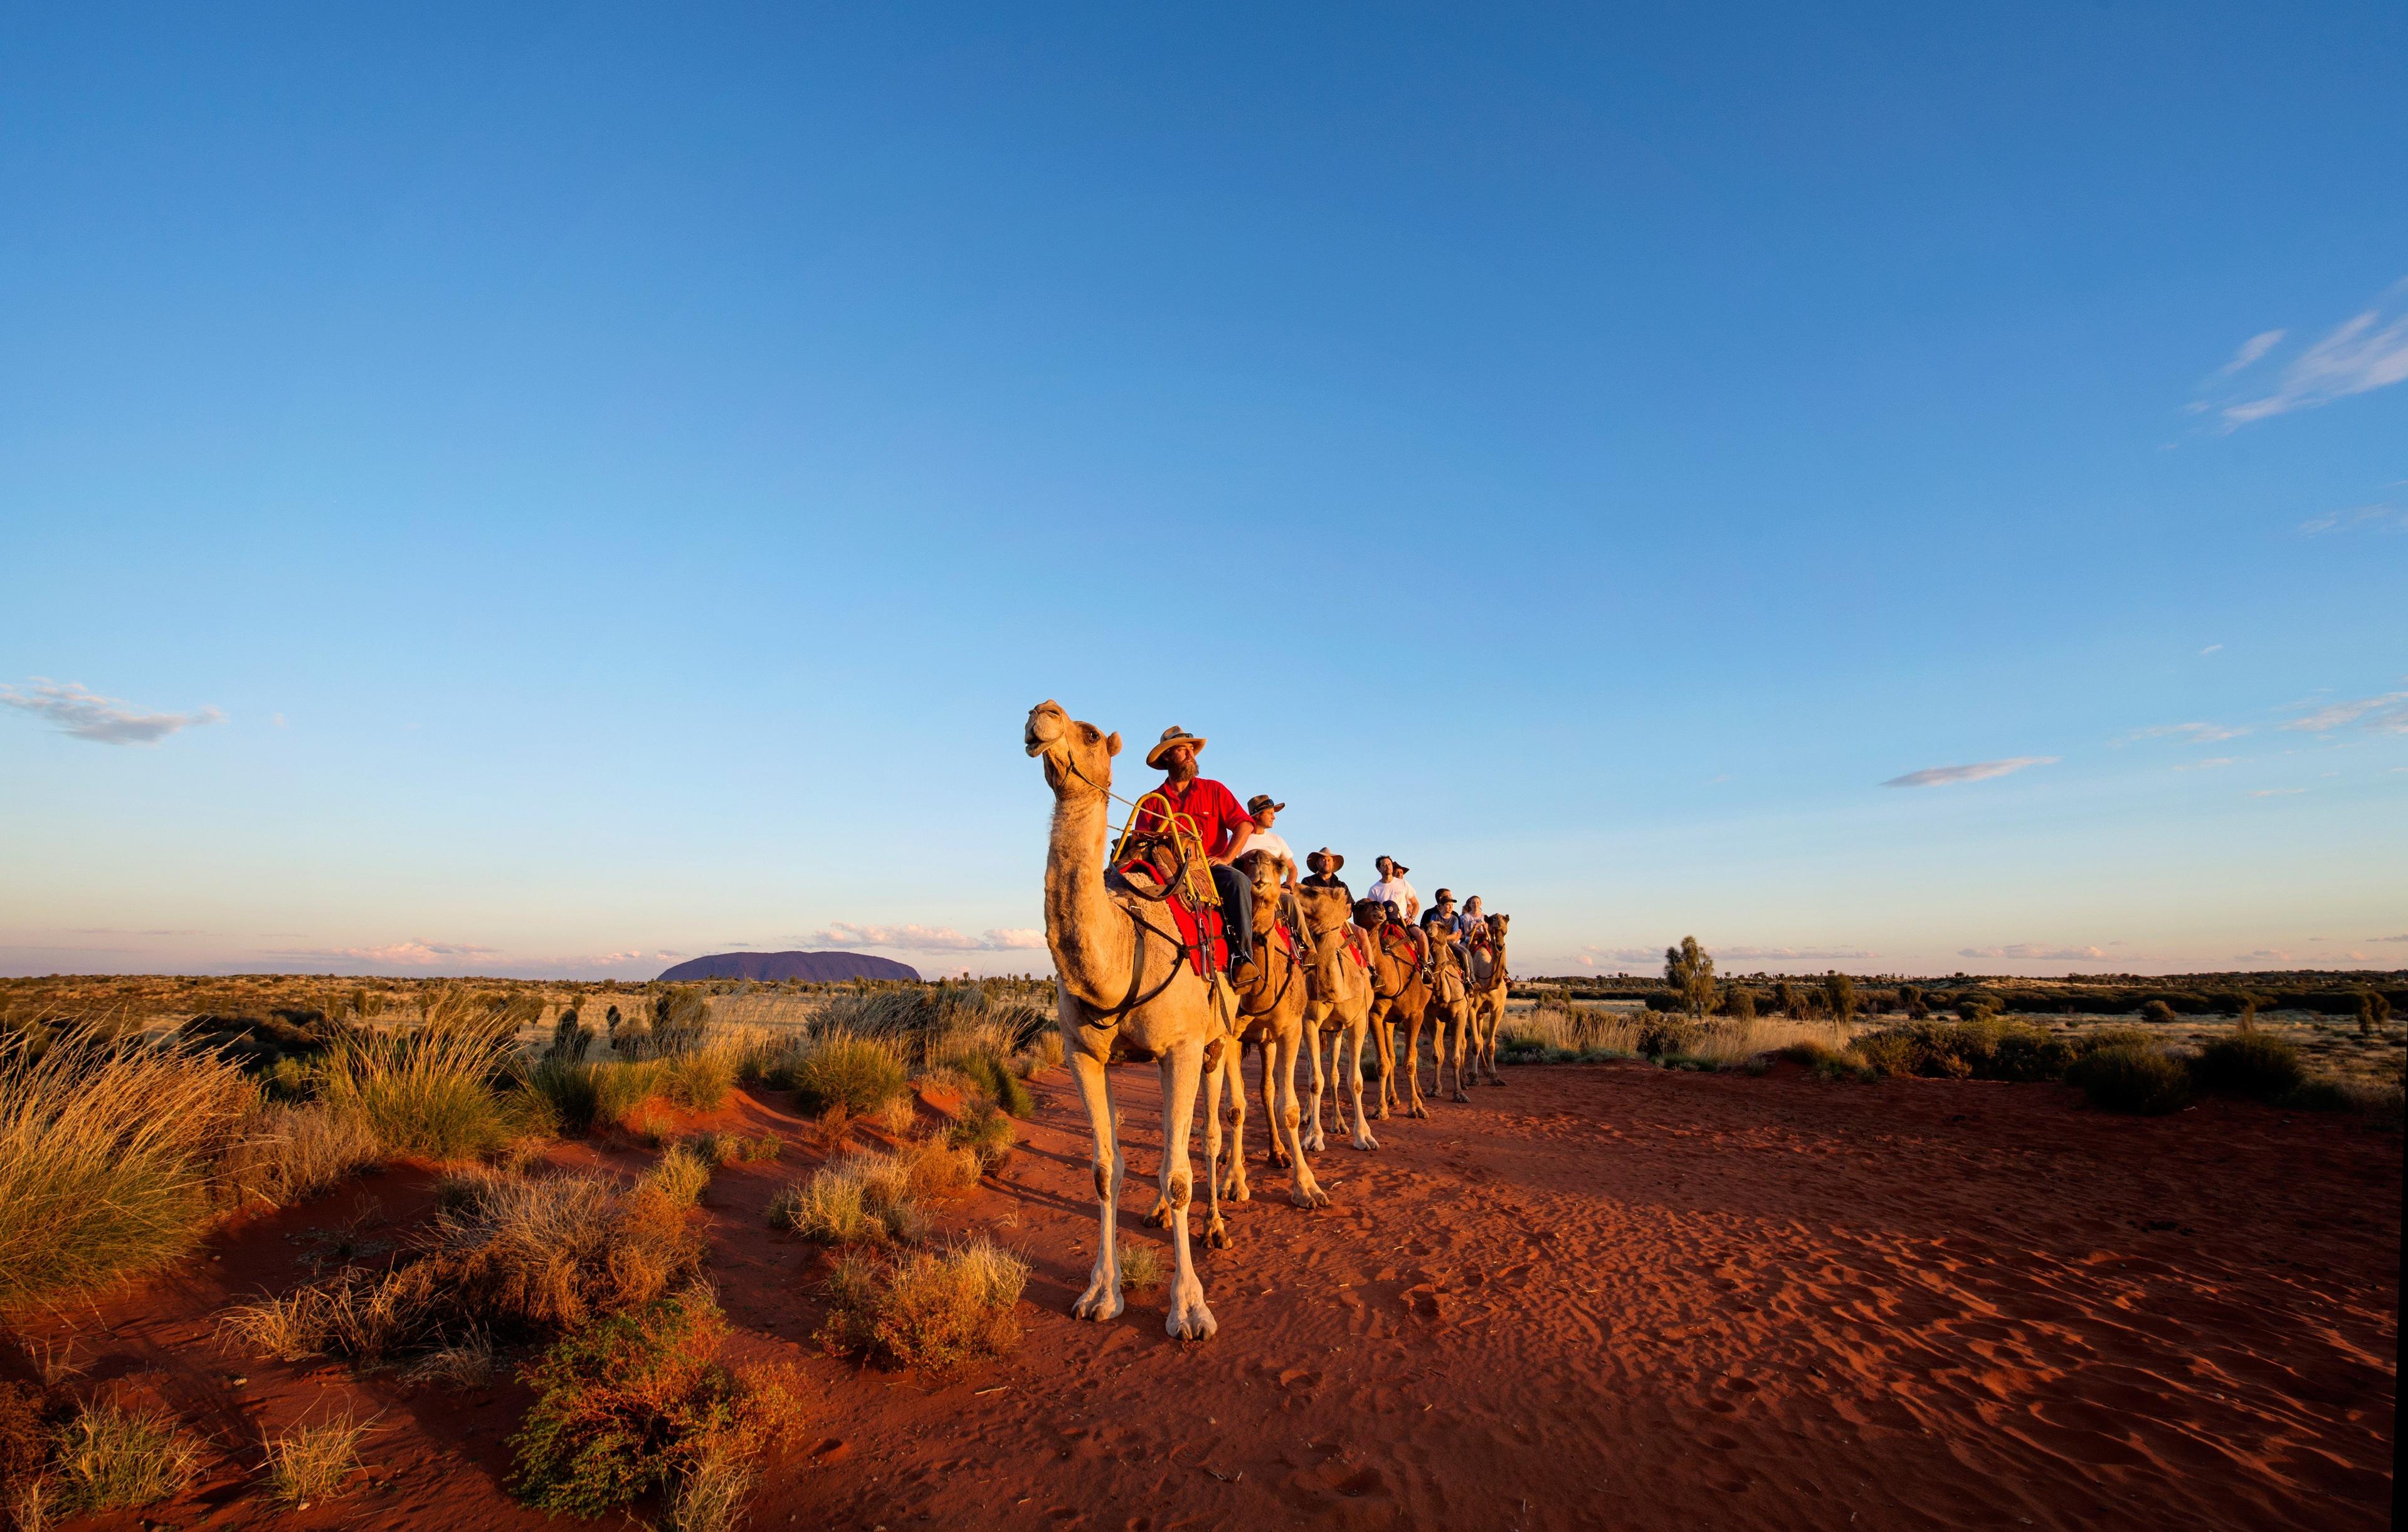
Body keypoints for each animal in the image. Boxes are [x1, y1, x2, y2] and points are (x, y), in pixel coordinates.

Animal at [1025, 698, 1233, 1339]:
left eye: (1091, 733)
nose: (1041, 713)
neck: (1124, 948)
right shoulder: (1084, 1055)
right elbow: (1104, 1170)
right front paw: (1100, 1293)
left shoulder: (1183, 1046)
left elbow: (1180, 1173)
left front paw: (1189, 1309)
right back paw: (1161, 1215)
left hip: (1219, 1042)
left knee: (1210, 1135)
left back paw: (1216, 1225)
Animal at [1213, 848, 1329, 1209]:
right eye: (1244, 861)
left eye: (1278, 865)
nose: (1260, 867)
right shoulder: (1231, 1036)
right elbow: (1235, 1107)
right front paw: (1233, 1182)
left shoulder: (1289, 1029)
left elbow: (1288, 1108)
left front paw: (1307, 1187)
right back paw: (1229, 1155)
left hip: (1268, 1041)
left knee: (1267, 1090)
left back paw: (1278, 1152)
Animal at [1300, 886, 1377, 1146]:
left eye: (1313, 892)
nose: (1287, 888)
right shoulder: (1309, 1022)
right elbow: (1315, 1080)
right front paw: (1313, 1136)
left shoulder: (1357, 1023)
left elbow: (1355, 1081)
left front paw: (1364, 1135)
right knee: (1315, 1071)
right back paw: (1307, 1116)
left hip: (1337, 1030)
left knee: (1334, 1074)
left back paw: (1339, 1123)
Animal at [1454, 915, 1512, 1084]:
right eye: (1492, 920)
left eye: (1505, 921)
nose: (1499, 944)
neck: (1488, 982)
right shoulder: (1472, 1010)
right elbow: (1475, 1045)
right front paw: (1474, 1077)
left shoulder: (1498, 1009)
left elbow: (1490, 1044)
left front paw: (1495, 1076)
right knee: (1465, 1042)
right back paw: (1464, 1075)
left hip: (1481, 1014)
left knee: (1479, 1036)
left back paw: (1485, 1070)